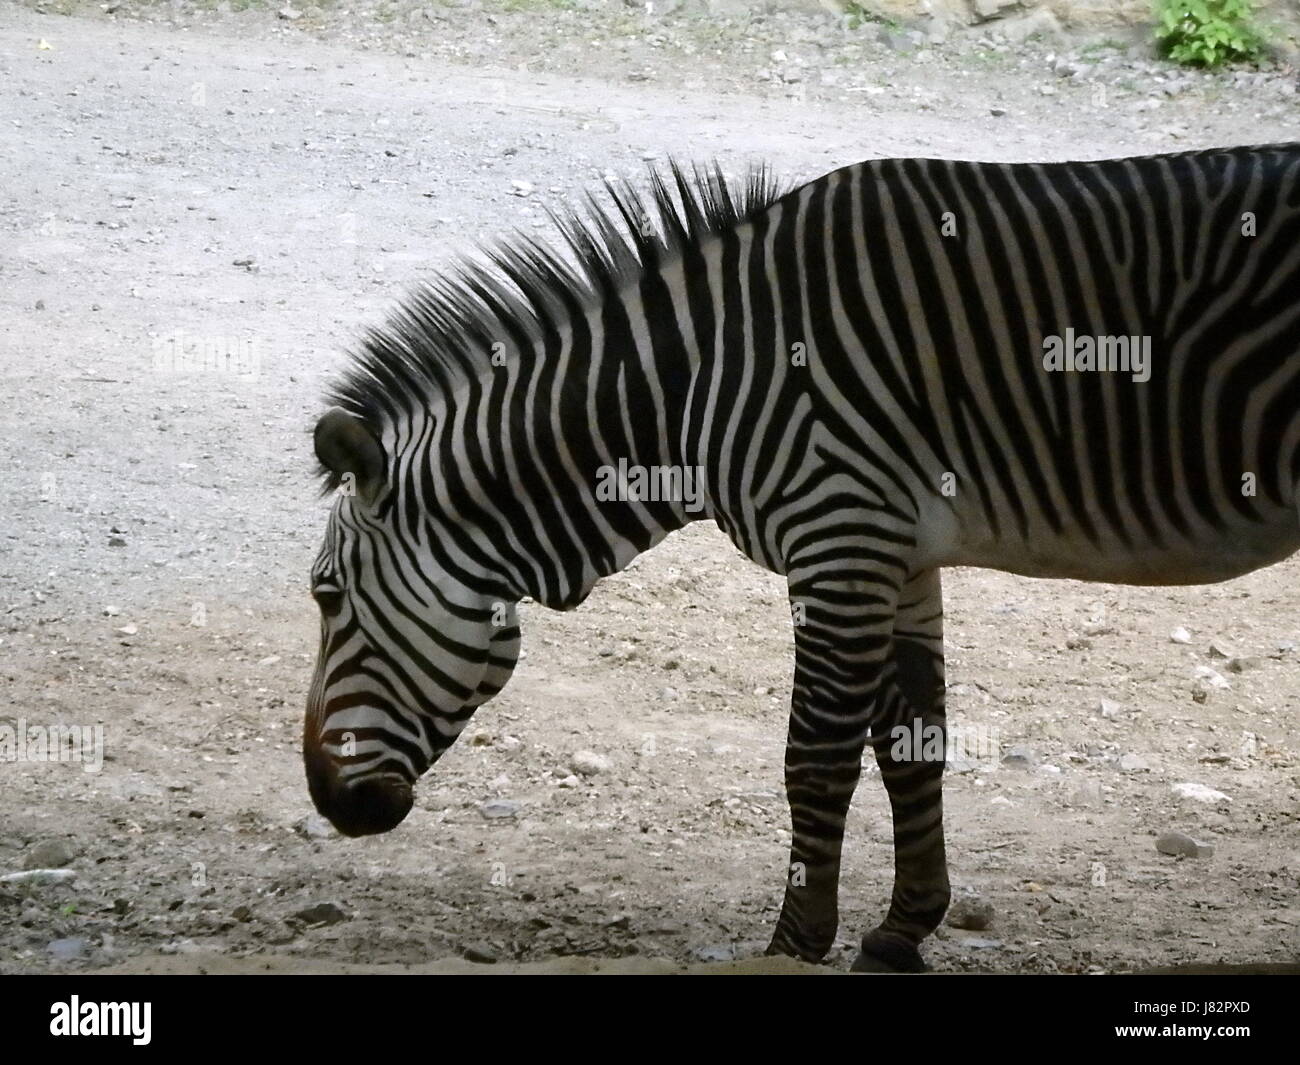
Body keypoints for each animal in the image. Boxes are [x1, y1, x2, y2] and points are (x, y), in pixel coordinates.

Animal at [306, 145, 1300, 971]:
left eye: (326, 598)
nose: (327, 800)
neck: (695, 383)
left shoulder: (838, 531)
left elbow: (813, 755)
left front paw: (795, 943)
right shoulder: (900, 552)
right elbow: (911, 742)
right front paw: (901, 930)